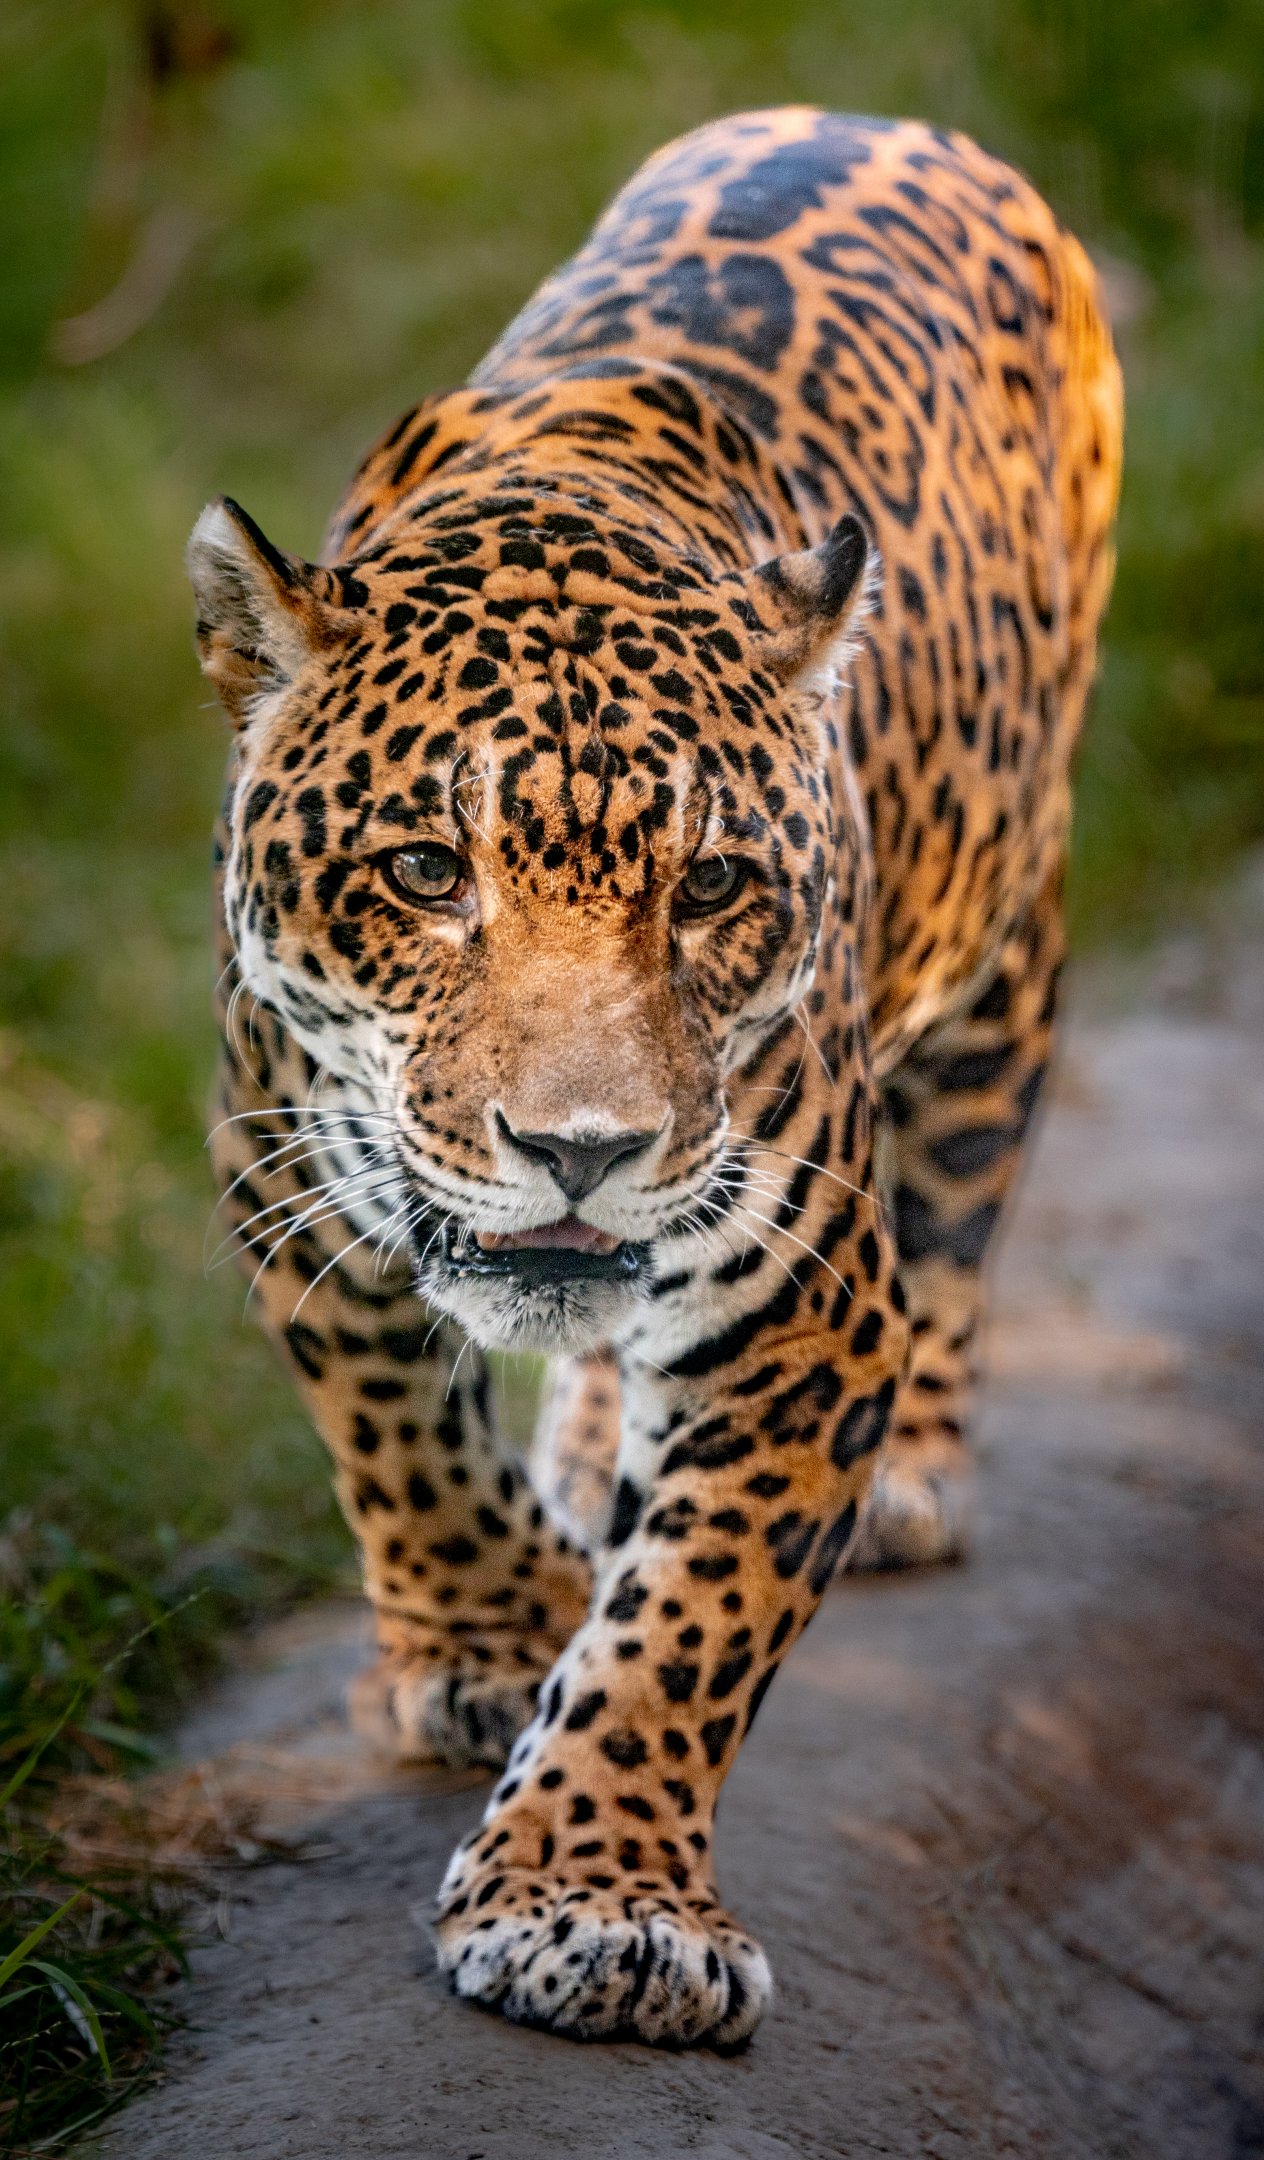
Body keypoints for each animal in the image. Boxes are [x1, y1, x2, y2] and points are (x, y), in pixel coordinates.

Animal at [188, 107, 1121, 2050]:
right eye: (422, 873)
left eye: (706, 888)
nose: (581, 1149)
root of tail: (893, 120)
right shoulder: (276, 1154)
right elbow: (392, 1432)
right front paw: (484, 1637)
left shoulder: (803, 1295)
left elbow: (693, 1615)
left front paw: (597, 1903)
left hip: (1006, 943)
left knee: (962, 1206)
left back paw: (909, 1472)